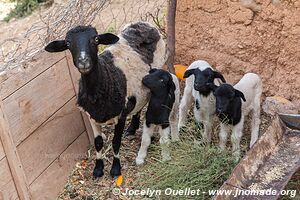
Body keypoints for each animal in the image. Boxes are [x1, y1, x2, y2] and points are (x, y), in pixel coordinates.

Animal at [44, 21, 166, 178]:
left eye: (96, 39)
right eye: (68, 43)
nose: (83, 61)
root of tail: (144, 24)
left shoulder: (121, 115)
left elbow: (116, 142)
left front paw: (115, 169)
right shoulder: (91, 117)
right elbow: (98, 143)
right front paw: (98, 169)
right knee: (138, 106)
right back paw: (132, 129)